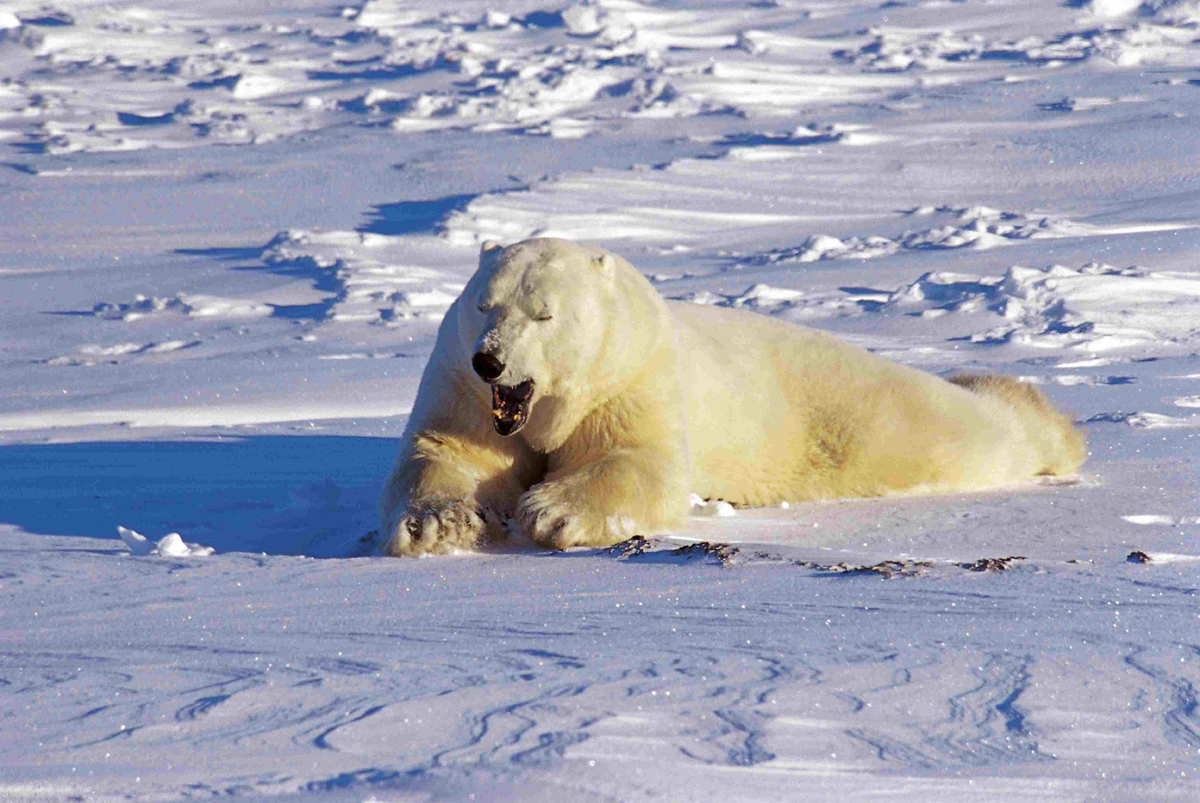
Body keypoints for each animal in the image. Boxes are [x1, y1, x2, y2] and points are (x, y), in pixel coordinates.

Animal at [381, 235, 1089, 554]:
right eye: (483, 305)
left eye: (544, 313)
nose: (492, 360)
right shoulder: (460, 384)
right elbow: (450, 451)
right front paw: (438, 523)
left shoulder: (634, 373)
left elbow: (639, 460)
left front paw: (551, 512)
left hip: (860, 415)